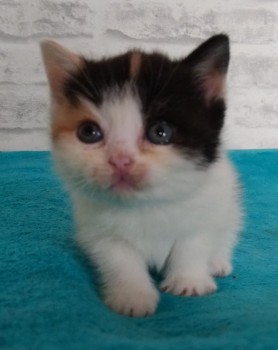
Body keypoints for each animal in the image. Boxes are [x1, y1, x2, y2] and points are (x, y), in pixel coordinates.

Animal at [40, 34, 241, 318]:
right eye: (89, 132)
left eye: (160, 132)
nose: (120, 160)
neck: (146, 205)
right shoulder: (97, 230)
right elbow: (119, 259)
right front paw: (133, 296)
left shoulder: (208, 208)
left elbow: (193, 242)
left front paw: (188, 281)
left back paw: (218, 262)